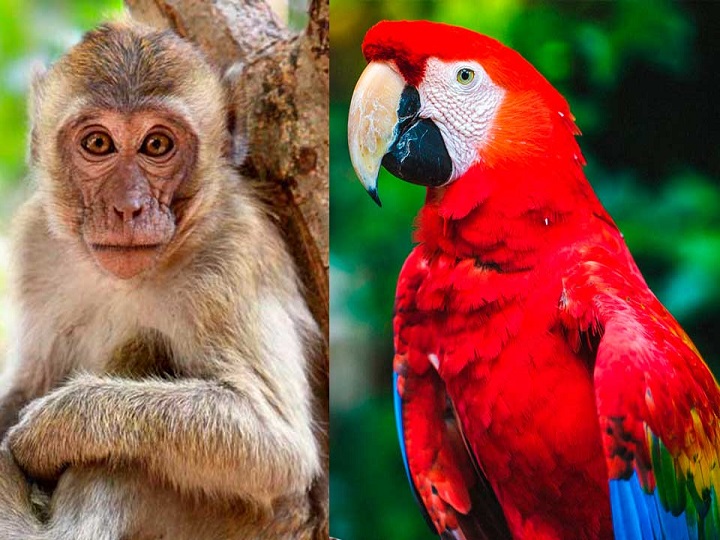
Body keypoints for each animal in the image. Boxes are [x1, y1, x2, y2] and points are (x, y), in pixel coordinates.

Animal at [0, 18, 323, 540]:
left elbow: (278, 449)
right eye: (98, 143)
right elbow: (28, 382)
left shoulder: (232, 258)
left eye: (157, 145)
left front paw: (48, 431)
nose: (128, 207)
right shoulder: (34, 244)